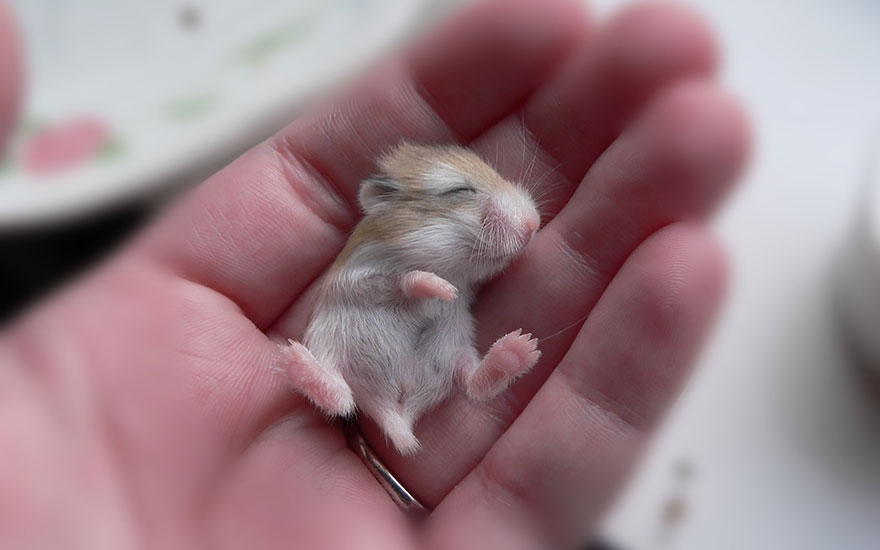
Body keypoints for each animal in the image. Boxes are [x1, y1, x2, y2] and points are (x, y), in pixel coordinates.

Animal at [278, 142, 541, 454]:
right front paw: (445, 290)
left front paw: (449, 293)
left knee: (474, 383)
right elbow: (406, 279)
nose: (534, 224)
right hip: (325, 343)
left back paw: (521, 348)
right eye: (460, 190)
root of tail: (398, 412)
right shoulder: (360, 279)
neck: (451, 268)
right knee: (340, 397)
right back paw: (292, 358)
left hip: (454, 350)